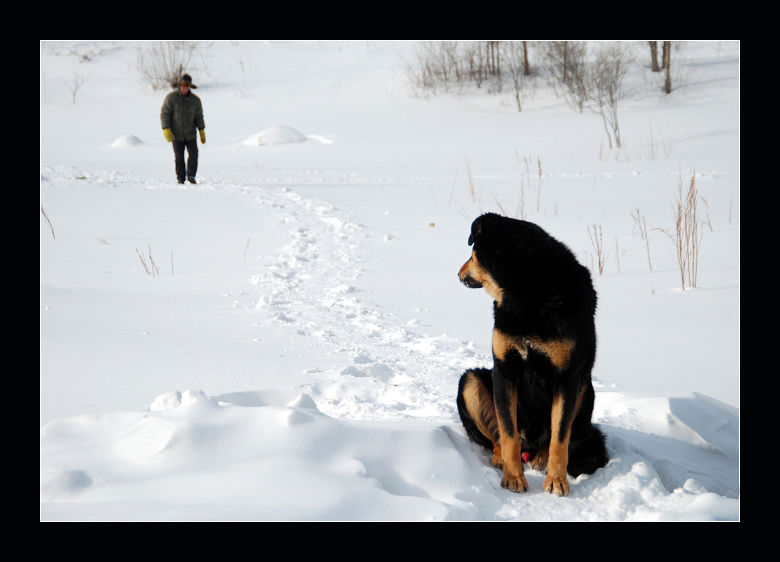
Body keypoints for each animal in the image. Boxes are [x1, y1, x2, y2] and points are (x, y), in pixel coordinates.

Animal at [458, 212, 608, 492]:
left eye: (472, 253)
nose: (459, 273)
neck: (527, 287)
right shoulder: (504, 370)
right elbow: (508, 433)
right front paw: (514, 477)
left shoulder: (568, 377)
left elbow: (560, 439)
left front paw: (557, 481)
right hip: (470, 381)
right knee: (499, 439)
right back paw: (501, 458)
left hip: (586, 390)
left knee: (558, 439)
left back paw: (540, 458)